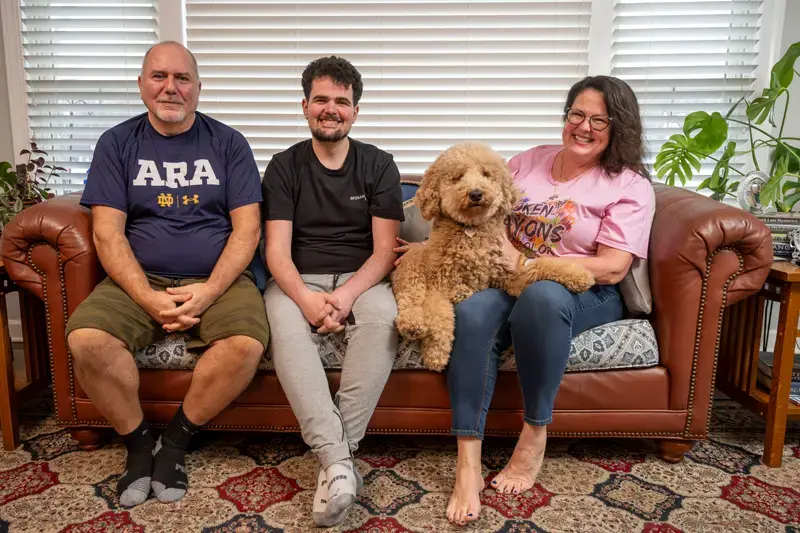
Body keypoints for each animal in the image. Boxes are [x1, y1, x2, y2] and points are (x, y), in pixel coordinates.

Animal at [392, 143, 592, 372]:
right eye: (457, 177)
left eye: (486, 174)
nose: (476, 193)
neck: (470, 230)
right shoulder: (437, 286)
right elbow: (439, 316)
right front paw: (436, 353)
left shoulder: (512, 276)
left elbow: (540, 266)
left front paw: (579, 275)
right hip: (413, 270)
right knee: (409, 299)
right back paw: (414, 324)